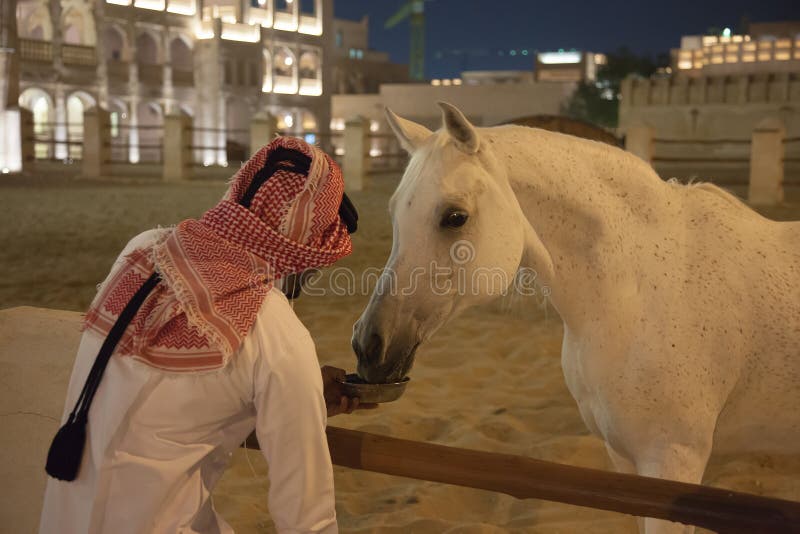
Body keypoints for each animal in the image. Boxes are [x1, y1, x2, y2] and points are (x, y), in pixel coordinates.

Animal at [351, 102, 800, 533]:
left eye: (454, 216)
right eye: (394, 212)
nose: (369, 346)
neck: (641, 293)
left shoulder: (673, 461)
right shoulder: (625, 461)